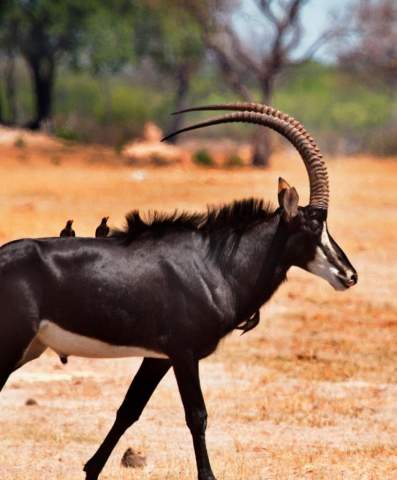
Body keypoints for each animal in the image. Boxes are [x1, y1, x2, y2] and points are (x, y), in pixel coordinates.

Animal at [0, 104, 356, 480]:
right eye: (314, 226)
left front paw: (90, 469)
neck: (214, 262)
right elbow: (197, 415)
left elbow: (129, 409)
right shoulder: (185, 353)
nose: (349, 274)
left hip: (29, 347)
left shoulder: (159, 357)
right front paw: (208, 476)